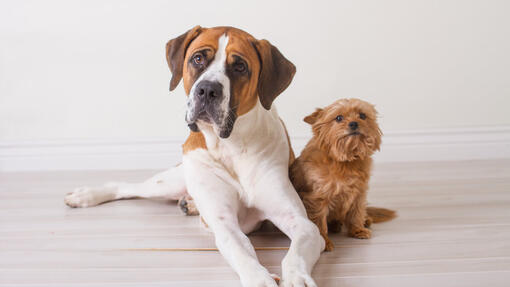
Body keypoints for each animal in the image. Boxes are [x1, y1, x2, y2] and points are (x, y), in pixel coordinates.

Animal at [65, 26, 324, 287]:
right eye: (198, 59)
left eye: (240, 66)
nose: (208, 89)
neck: (231, 146)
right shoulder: (225, 225)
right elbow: (241, 251)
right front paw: (260, 280)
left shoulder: (302, 224)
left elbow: (295, 252)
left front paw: (297, 277)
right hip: (169, 182)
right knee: (128, 187)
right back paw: (87, 195)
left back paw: (188, 204)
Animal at [290, 99, 394, 252]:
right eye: (339, 118)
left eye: (362, 115)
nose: (354, 123)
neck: (345, 160)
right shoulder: (317, 199)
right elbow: (319, 222)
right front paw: (324, 242)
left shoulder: (359, 193)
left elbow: (356, 213)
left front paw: (357, 230)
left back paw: (365, 220)